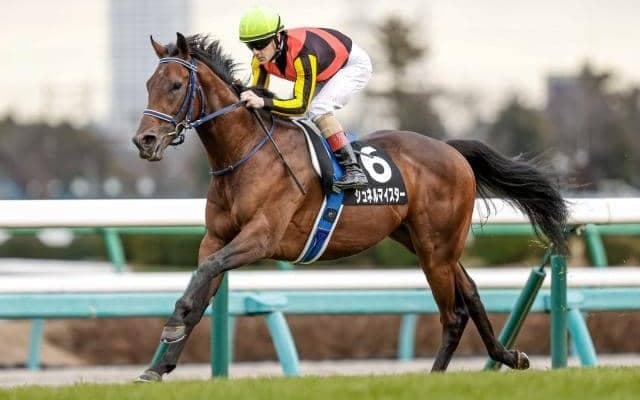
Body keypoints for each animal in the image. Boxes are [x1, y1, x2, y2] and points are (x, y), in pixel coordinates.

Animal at [132, 33, 568, 381]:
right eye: (149, 85)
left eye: (175, 85)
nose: (144, 141)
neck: (245, 154)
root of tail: (451, 150)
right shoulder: (217, 237)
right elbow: (203, 284)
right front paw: (158, 366)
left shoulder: (261, 237)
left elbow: (205, 273)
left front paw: (171, 326)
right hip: (422, 241)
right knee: (472, 292)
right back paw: (508, 356)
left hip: (436, 247)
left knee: (453, 313)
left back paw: (435, 377)